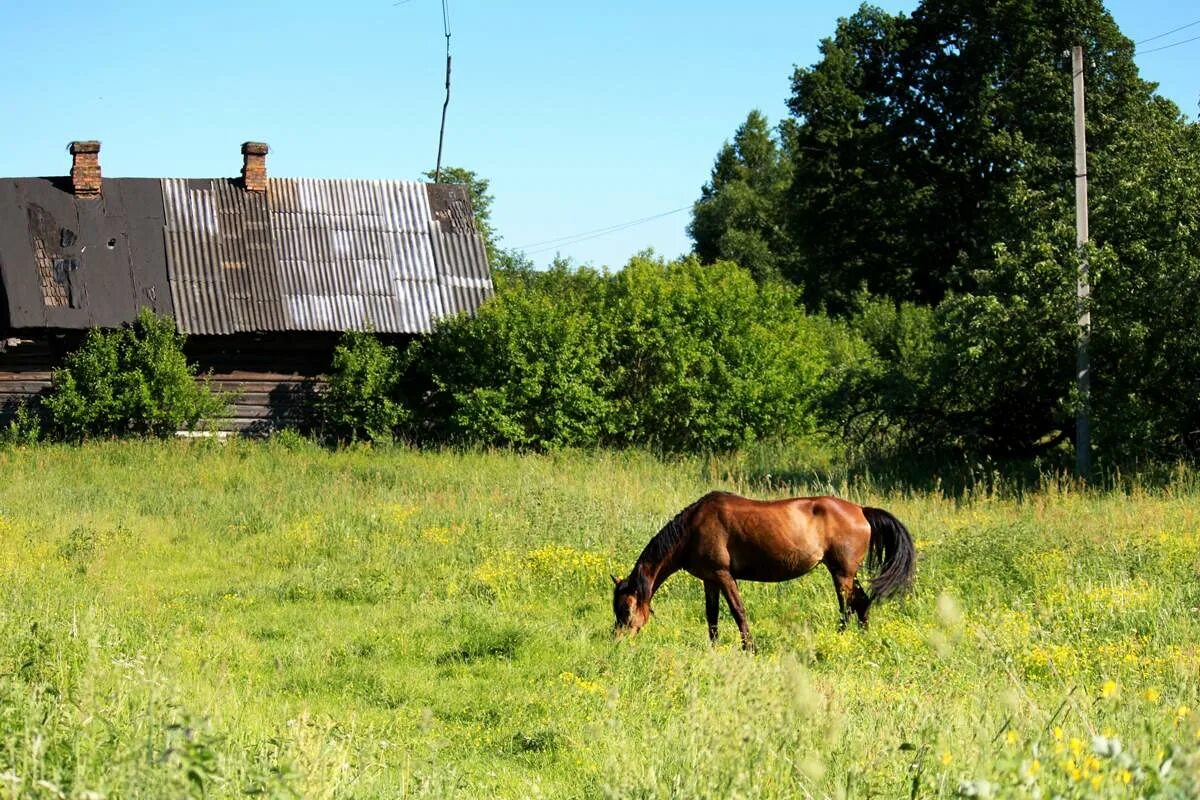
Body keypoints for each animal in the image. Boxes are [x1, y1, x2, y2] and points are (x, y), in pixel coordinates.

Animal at [614, 489, 912, 652]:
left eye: (626, 609)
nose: (617, 640)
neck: (693, 528)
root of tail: (861, 510)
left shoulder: (724, 575)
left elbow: (738, 611)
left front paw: (750, 648)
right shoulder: (710, 579)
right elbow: (712, 616)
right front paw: (714, 647)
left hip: (842, 574)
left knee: (847, 607)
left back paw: (841, 639)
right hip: (847, 573)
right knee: (862, 603)